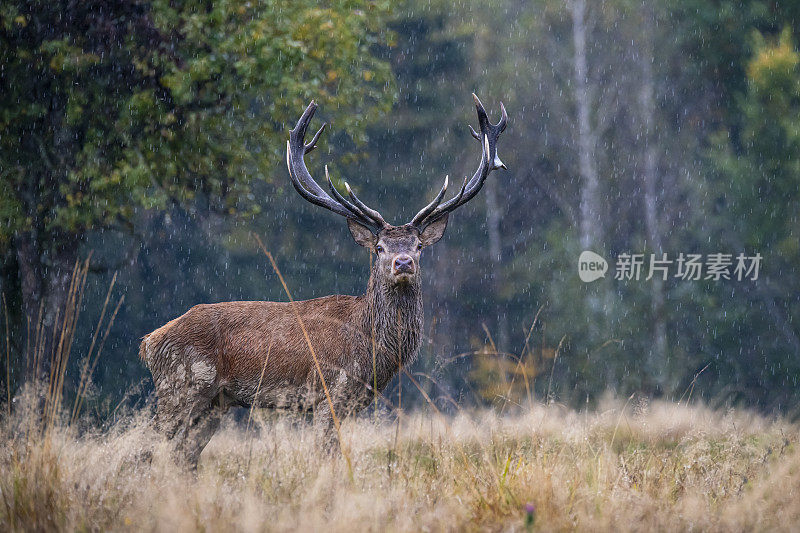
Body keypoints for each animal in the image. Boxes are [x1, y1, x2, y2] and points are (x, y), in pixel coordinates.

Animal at [138, 95, 506, 466]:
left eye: (418, 246)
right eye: (379, 247)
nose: (403, 263)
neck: (371, 348)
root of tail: (149, 342)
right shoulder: (330, 391)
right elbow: (327, 454)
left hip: (215, 402)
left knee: (183, 455)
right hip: (182, 385)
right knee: (143, 446)